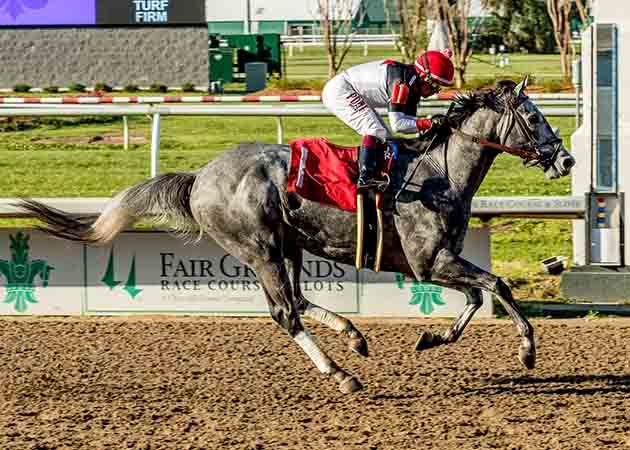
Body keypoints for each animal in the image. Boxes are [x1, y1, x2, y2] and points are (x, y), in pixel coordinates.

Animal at [17, 78, 576, 394]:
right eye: (533, 117)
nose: (567, 159)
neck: (438, 173)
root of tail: (200, 177)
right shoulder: (428, 262)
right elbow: (497, 286)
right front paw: (527, 351)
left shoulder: (442, 261)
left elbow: (479, 298)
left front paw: (432, 337)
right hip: (259, 247)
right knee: (285, 311)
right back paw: (343, 373)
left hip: (288, 246)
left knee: (299, 301)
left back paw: (353, 337)